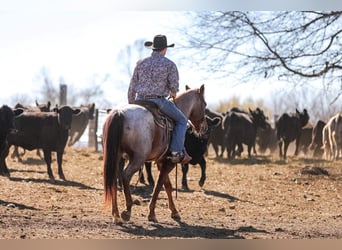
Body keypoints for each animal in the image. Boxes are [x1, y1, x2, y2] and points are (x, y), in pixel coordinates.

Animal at [103, 85, 207, 224]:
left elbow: (167, 186)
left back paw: (116, 214)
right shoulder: (169, 162)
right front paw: (152, 214)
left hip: (116, 156)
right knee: (125, 176)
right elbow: (158, 185)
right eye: (205, 104)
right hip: (138, 158)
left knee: (114, 179)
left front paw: (174, 212)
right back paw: (127, 210)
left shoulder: (161, 161)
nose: (205, 128)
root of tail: (119, 113)